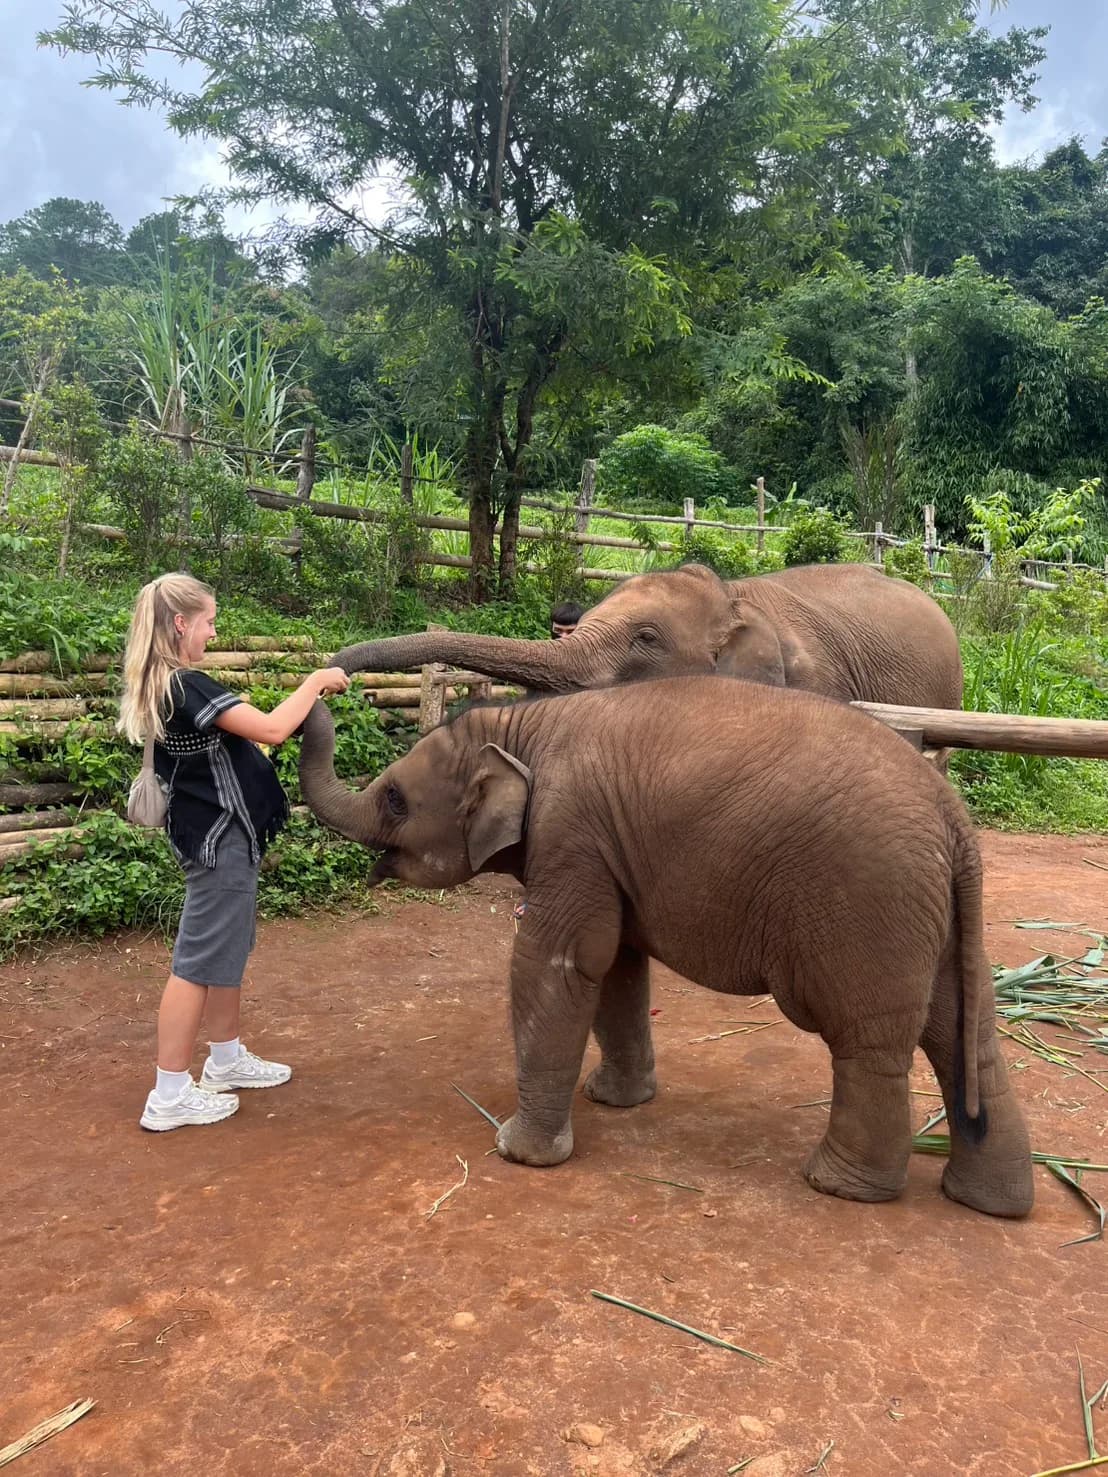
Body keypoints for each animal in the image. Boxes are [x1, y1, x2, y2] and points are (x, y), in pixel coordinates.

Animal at [299, 675, 1033, 1218]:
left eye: (395, 798)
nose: (327, 685)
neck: (518, 724)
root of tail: (953, 815)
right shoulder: (605, 850)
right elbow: (618, 966)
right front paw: (614, 1101)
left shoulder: (570, 831)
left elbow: (558, 963)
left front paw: (518, 1152)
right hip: (935, 915)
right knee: (965, 1034)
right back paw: (990, 1204)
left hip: (867, 902)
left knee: (868, 1041)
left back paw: (839, 1186)